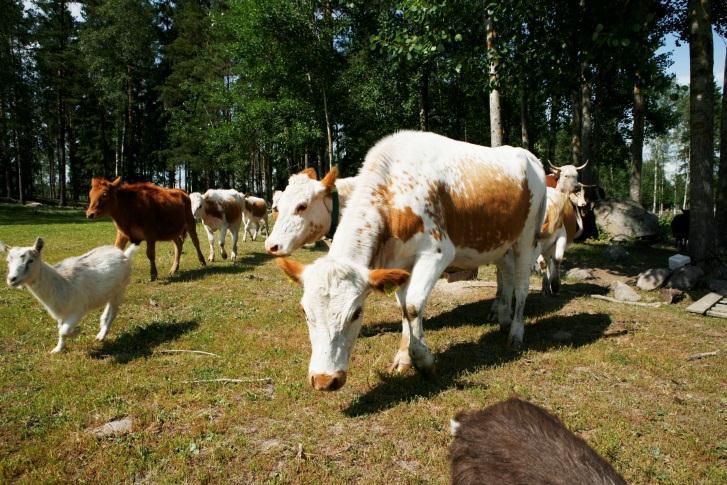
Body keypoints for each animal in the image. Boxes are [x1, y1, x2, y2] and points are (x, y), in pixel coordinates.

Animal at [1, 237, 139, 352]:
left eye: (30, 260)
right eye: (7, 261)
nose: (12, 279)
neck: (61, 282)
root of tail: (124, 255)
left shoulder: (77, 309)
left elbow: (64, 330)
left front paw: (77, 331)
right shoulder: (61, 312)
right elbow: (61, 329)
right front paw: (57, 349)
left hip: (120, 289)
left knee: (114, 311)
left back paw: (101, 335)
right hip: (109, 292)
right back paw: (101, 327)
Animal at [278, 130, 544, 392]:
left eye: (356, 313)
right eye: (305, 311)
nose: (324, 380)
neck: (393, 197)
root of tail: (529, 156)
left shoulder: (437, 253)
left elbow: (414, 306)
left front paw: (424, 361)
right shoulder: (399, 263)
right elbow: (404, 308)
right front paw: (403, 359)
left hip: (527, 237)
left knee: (522, 285)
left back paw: (516, 333)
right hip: (501, 241)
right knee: (506, 273)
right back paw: (503, 317)